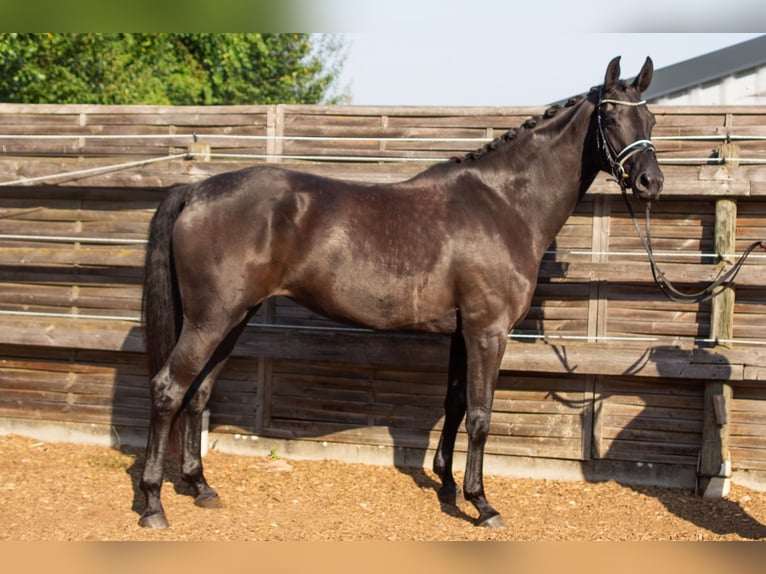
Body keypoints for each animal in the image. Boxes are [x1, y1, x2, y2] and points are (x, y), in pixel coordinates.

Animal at [138, 57, 664, 532]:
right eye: (611, 117)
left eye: (651, 120)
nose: (651, 182)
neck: (504, 205)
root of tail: (195, 192)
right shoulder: (487, 332)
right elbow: (480, 415)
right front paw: (481, 503)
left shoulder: (461, 333)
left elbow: (455, 404)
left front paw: (447, 485)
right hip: (211, 320)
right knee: (168, 390)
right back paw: (153, 504)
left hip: (232, 318)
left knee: (198, 393)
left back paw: (200, 486)